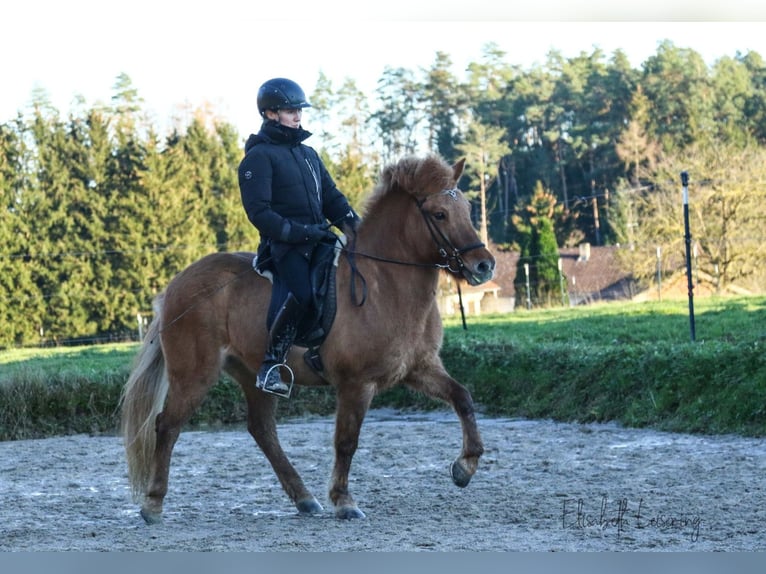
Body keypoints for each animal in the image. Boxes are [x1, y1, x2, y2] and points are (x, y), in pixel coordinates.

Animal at [121, 154, 498, 528]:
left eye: (466, 207)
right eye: (439, 214)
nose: (484, 265)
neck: (385, 285)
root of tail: (175, 285)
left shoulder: (418, 368)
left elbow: (463, 398)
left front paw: (465, 467)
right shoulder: (355, 383)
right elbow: (346, 441)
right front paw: (344, 501)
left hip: (252, 374)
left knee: (262, 430)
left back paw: (304, 498)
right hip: (194, 375)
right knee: (167, 425)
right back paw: (153, 504)